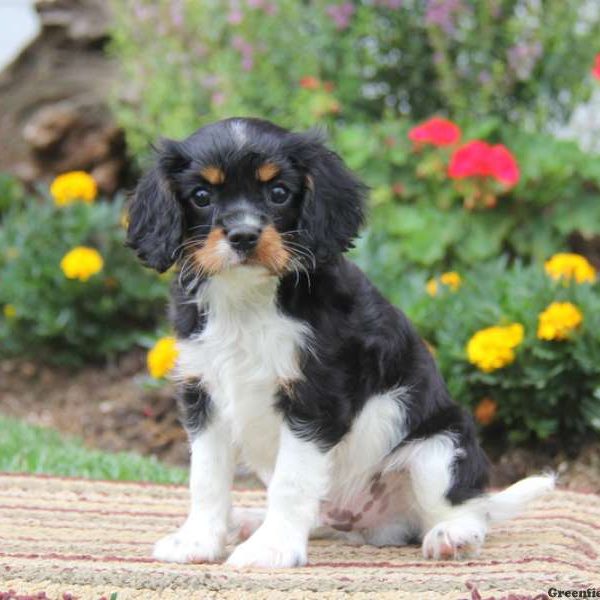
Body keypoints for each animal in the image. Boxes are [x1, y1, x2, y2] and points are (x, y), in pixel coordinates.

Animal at [126, 116, 552, 568]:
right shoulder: (203, 394)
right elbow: (206, 477)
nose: (243, 235)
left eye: (279, 192)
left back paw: (453, 535)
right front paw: (198, 540)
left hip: (440, 447)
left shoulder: (315, 399)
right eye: (202, 196)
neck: (249, 298)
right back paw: (249, 520)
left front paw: (271, 548)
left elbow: (292, 482)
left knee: (466, 507)